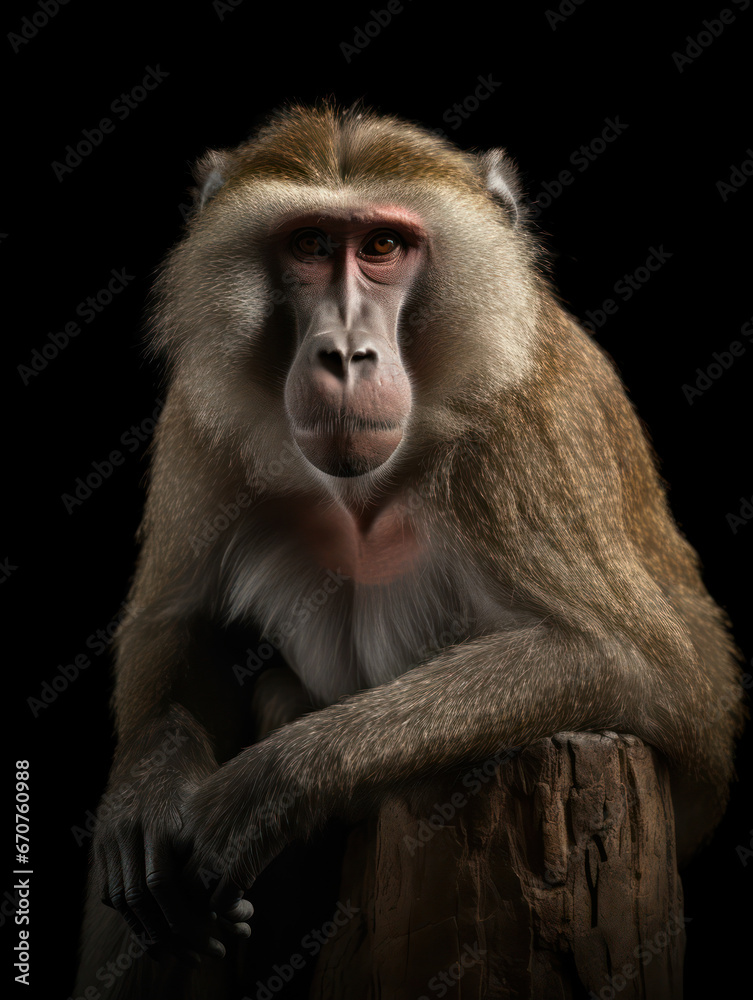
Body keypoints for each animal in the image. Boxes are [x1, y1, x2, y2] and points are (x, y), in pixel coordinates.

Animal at [74, 102, 744, 998]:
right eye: (311, 244)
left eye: (384, 246)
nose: (344, 355)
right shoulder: (197, 411)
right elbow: (178, 625)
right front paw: (150, 784)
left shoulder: (524, 421)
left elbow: (627, 663)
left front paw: (277, 781)